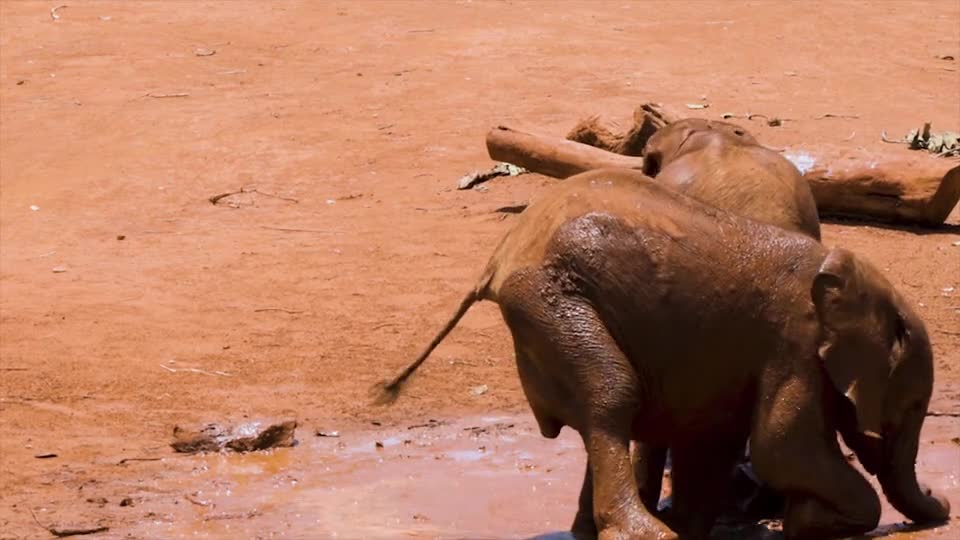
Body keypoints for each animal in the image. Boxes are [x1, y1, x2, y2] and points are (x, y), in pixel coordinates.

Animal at [376, 169, 944, 540]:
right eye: (914, 407)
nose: (941, 504)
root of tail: (501, 254)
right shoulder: (796, 346)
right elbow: (783, 447)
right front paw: (812, 523)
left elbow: (714, 439)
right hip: (550, 300)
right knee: (612, 396)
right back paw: (644, 532)